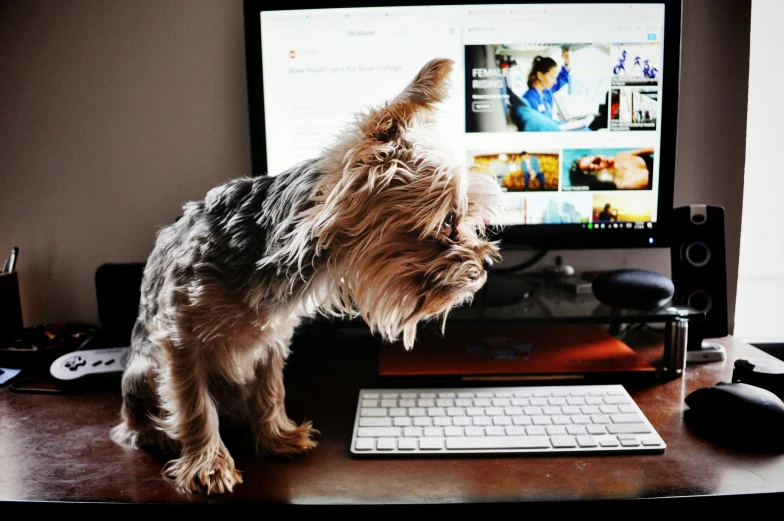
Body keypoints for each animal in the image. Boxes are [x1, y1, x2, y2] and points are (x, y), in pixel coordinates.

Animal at [110, 59, 506, 494]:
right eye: (449, 219)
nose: (488, 264)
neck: (268, 253)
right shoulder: (181, 336)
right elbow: (194, 405)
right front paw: (207, 466)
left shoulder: (271, 337)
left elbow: (270, 389)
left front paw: (277, 438)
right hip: (143, 373)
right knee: (145, 419)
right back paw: (159, 434)